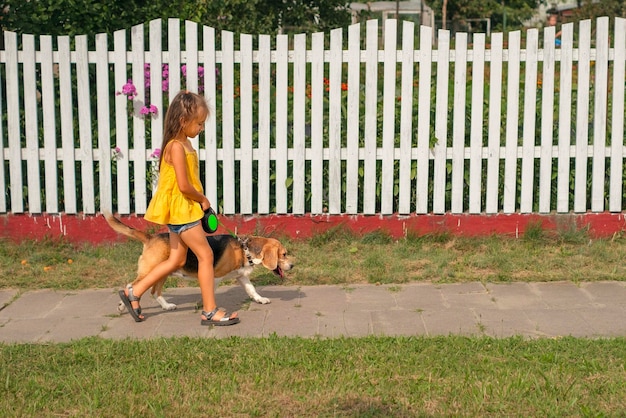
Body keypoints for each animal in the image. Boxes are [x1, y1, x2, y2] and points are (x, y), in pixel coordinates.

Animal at [105, 212, 292, 310]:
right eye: (283, 254)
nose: (292, 265)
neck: (244, 248)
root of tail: (151, 237)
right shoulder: (215, 276)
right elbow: (210, 290)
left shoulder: (241, 276)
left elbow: (252, 290)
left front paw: (260, 299)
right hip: (149, 271)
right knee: (131, 285)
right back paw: (123, 304)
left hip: (162, 272)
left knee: (154, 291)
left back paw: (166, 306)